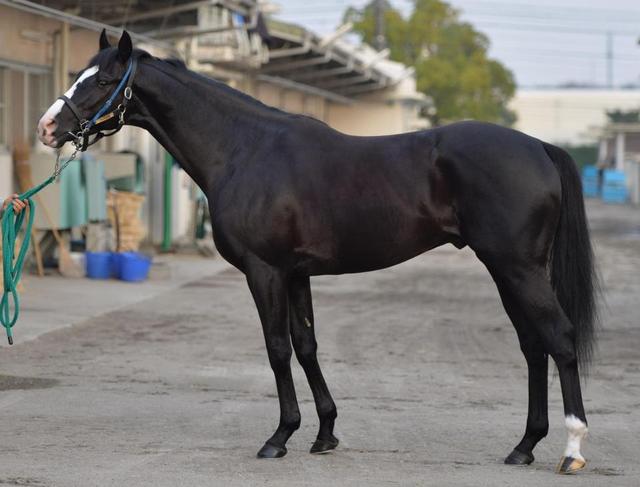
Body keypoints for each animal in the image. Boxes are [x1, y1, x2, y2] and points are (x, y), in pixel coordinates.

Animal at [37, 30, 598, 475]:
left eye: (103, 82)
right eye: (78, 74)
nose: (47, 128)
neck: (245, 149)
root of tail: (538, 146)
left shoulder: (264, 271)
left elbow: (277, 348)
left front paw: (280, 436)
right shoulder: (296, 273)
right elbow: (306, 346)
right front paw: (325, 433)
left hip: (518, 268)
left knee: (560, 338)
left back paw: (571, 450)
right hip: (507, 271)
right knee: (533, 346)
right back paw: (524, 446)